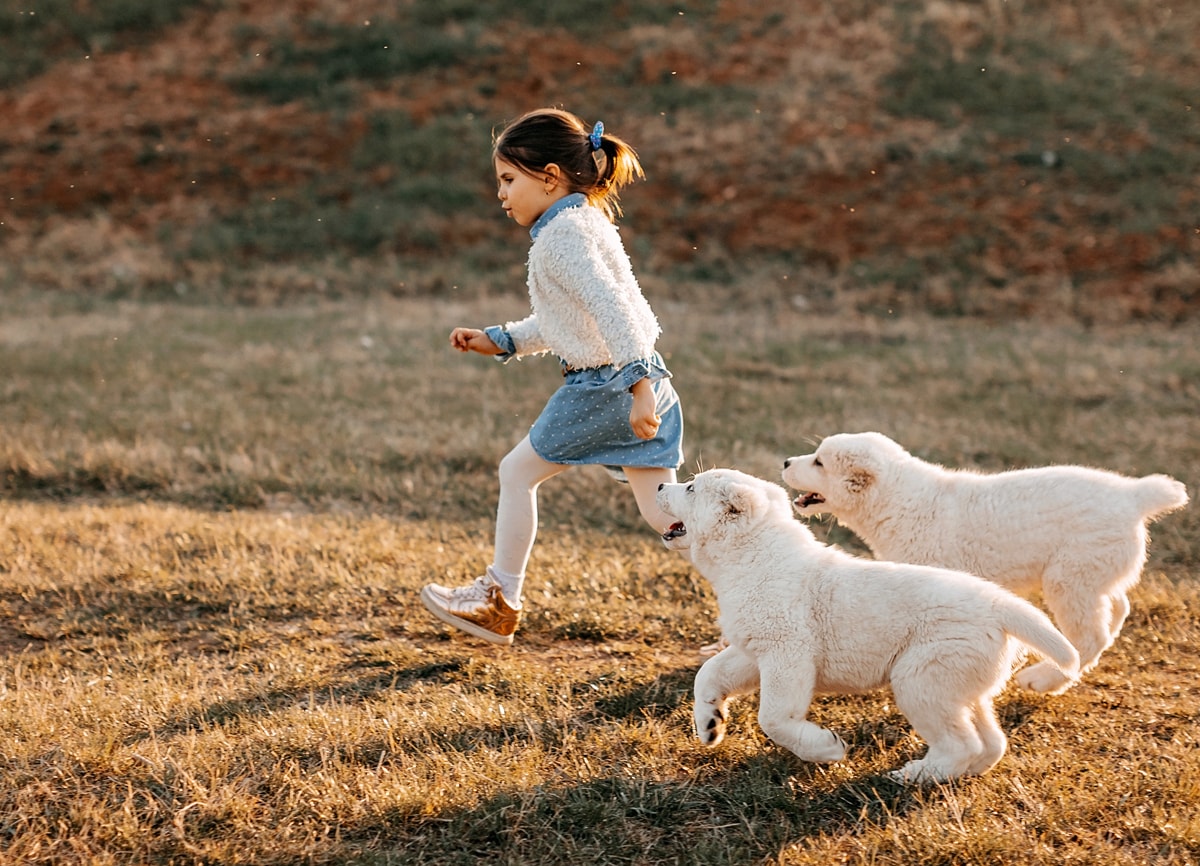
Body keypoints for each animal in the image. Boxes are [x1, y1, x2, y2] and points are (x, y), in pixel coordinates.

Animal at [657, 465, 1080, 782]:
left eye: (691, 488)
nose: (660, 484)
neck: (753, 556)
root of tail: (999, 605)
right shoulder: (753, 650)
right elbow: (709, 674)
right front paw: (709, 724)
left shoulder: (787, 653)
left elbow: (773, 718)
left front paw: (826, 748)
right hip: (961, 683)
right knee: (991, 741)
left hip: (921, 678)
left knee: (963, 743)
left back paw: (915, 775)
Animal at [782, 431, 1185, 695]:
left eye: (819, 462)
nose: (785, 461)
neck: (900, 499)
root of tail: (1134, 496)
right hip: (1093, 572)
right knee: (1116, 609)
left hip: (1068, 576)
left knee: (1088, 636)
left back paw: (1043, 679)